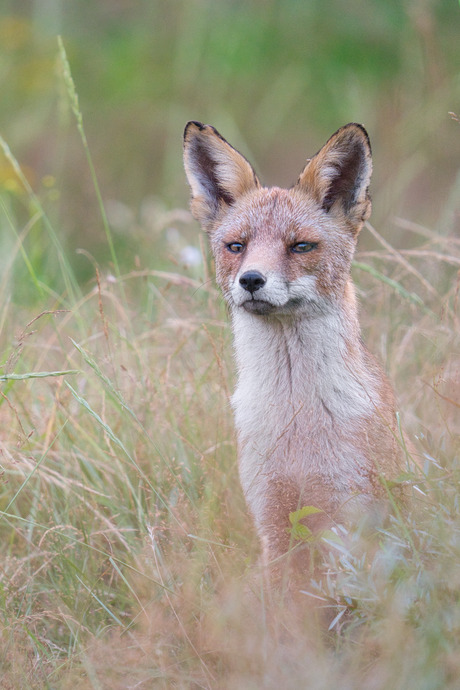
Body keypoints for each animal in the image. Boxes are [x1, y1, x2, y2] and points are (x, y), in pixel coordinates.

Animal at [183, 119, 406, 576]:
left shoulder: (349, 513)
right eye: (237, 246)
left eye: (300, 246)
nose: (251, 279)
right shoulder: (273, 517)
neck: (296, 416)